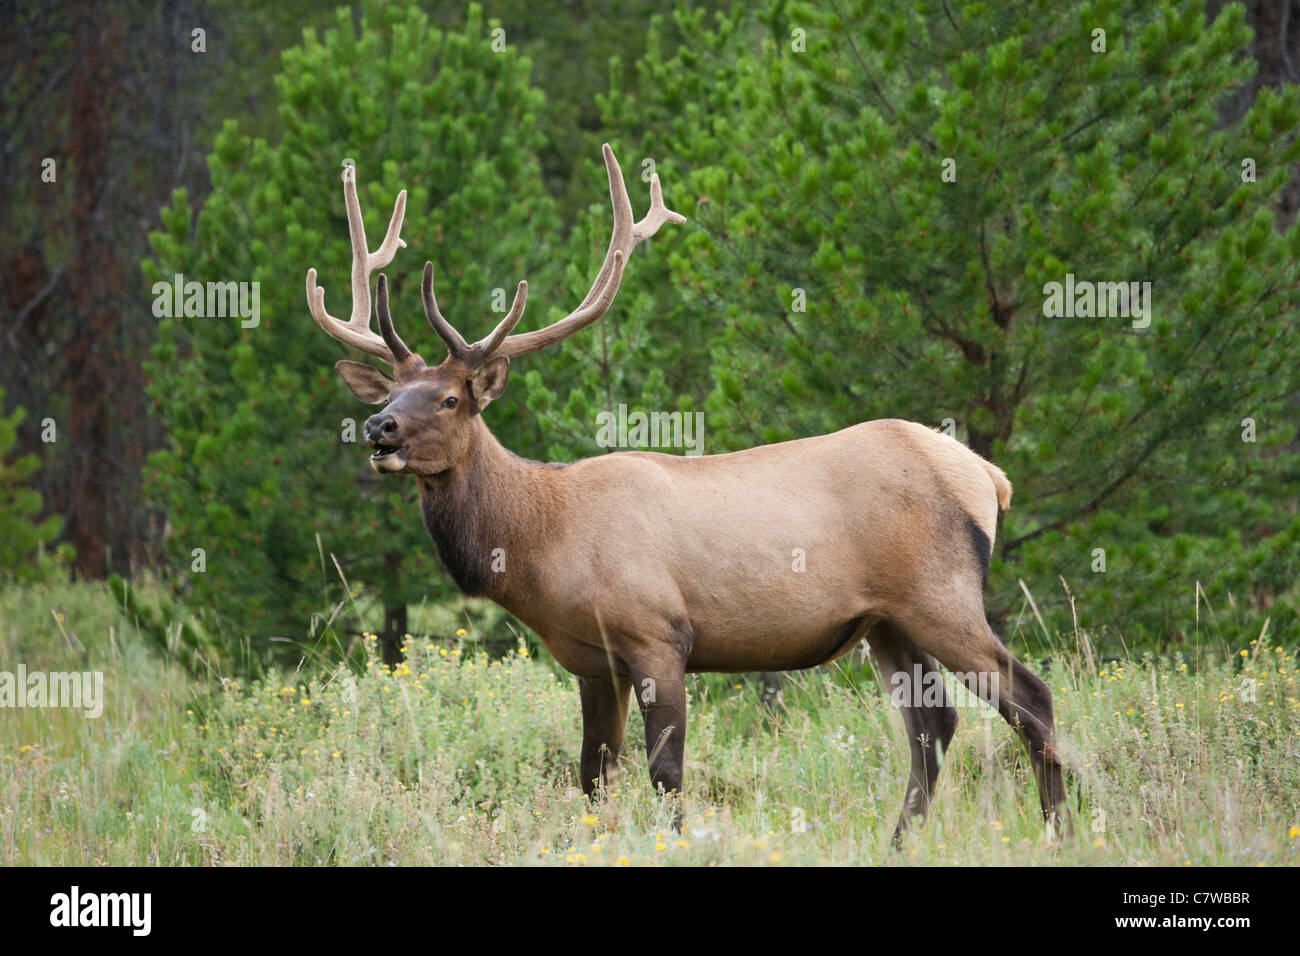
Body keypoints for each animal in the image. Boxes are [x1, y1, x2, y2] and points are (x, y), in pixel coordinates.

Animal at [309, 145, 1071, 842]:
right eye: (390, 392)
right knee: (934, 725)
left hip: (940, 593)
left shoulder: (657, 634)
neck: (544, 539)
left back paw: (1059, 831)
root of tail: (989, 477)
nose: (378, 428)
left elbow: (665, 773)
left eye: (448, 398)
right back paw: (900, 841)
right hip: (887, 621)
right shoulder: (592, 661)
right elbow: (593, 775)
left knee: (1029, 697)